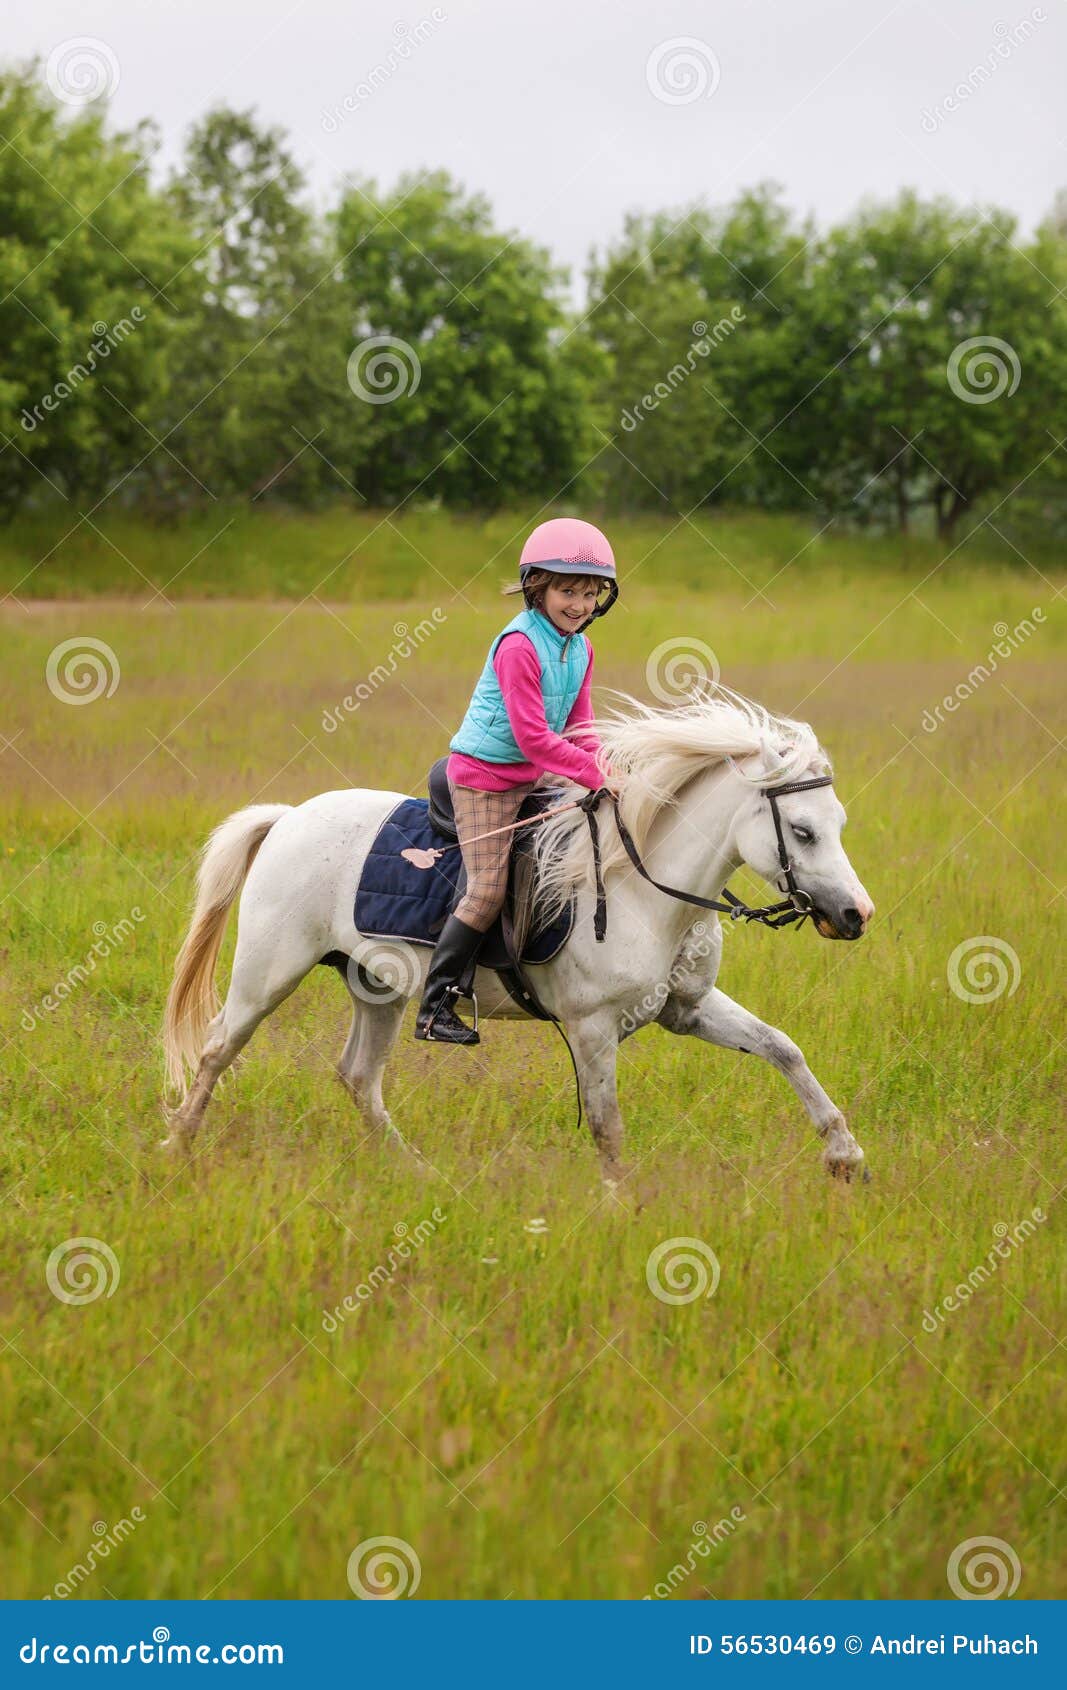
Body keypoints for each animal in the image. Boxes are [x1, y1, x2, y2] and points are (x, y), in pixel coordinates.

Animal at [160, 686, 879, 1176]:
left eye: (839, 823)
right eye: (803, 831)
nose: (855, 915)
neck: (644, 890)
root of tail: (286, 818)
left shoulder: (687, 1008)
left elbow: (782, 1048)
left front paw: (844, 1154)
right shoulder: (591, 1029)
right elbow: (607, 1127)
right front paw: (622, 1208)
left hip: (377, 987)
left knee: (359, 1077)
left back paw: (416, 1171)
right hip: (268, 972)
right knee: (218, 1048)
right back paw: (178, 1147)